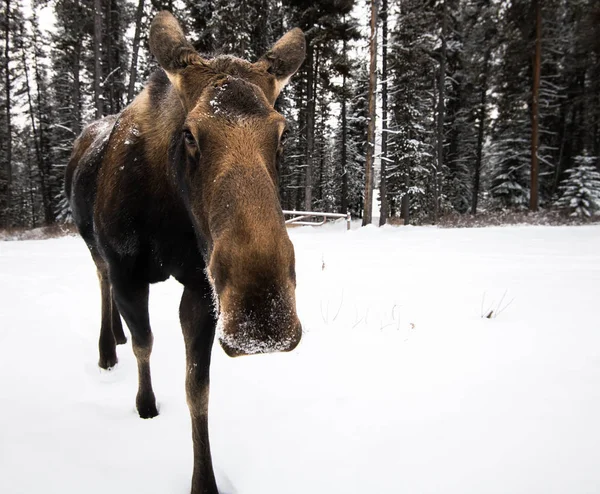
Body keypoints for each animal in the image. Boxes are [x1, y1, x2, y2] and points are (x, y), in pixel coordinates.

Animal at [67, 12, 304, 494]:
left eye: (283, 132)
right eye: (190, 135)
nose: (263, 318)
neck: (169, 219)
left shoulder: (200, 284)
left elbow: (199, 387)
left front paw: (204, 480)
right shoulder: (127, 271)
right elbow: (145, 344)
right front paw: (145, 405)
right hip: (94, 245)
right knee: (101, 284)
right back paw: (107, 348)